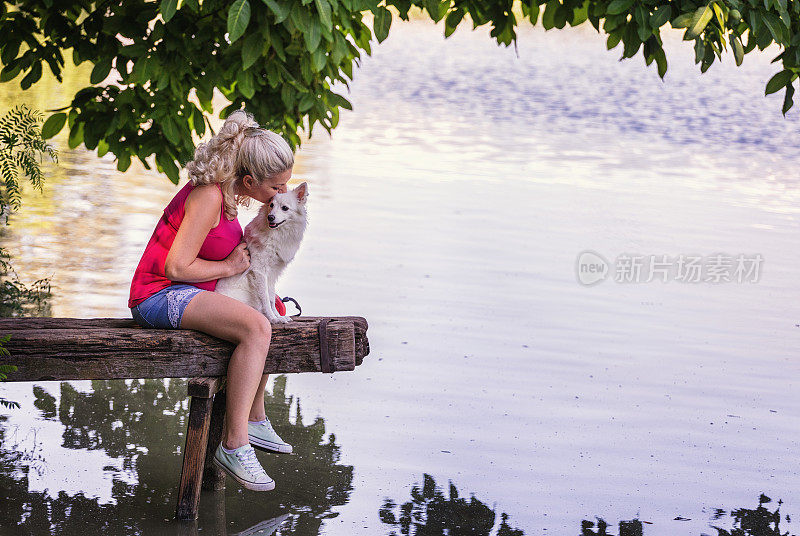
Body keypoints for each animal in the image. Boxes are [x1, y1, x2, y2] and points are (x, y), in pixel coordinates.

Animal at [214, 182, 308, 322]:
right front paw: (273, 318)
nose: (270, 217)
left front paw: (278, 316)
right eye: (271, 205)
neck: (277, 233)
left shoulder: (272, 274)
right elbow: (265, 298)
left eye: (285, 208)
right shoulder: (259, 271)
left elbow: (271, 297)